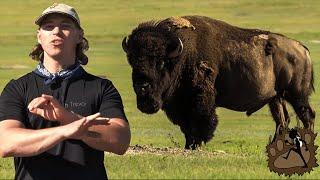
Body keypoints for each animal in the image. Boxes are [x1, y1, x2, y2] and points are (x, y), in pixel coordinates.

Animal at [122, 16, 316, 150]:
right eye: (132, 61)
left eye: (161, 62)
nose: (142, 86)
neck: (180, 56)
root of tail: (303, 49)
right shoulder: (181, 107)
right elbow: (187, 127)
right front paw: (189, 145)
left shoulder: (199, 100)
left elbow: (200, 122)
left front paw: (196, 145)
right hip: (276, 98)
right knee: (282, 121)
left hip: (297, 95)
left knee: (307, 115)